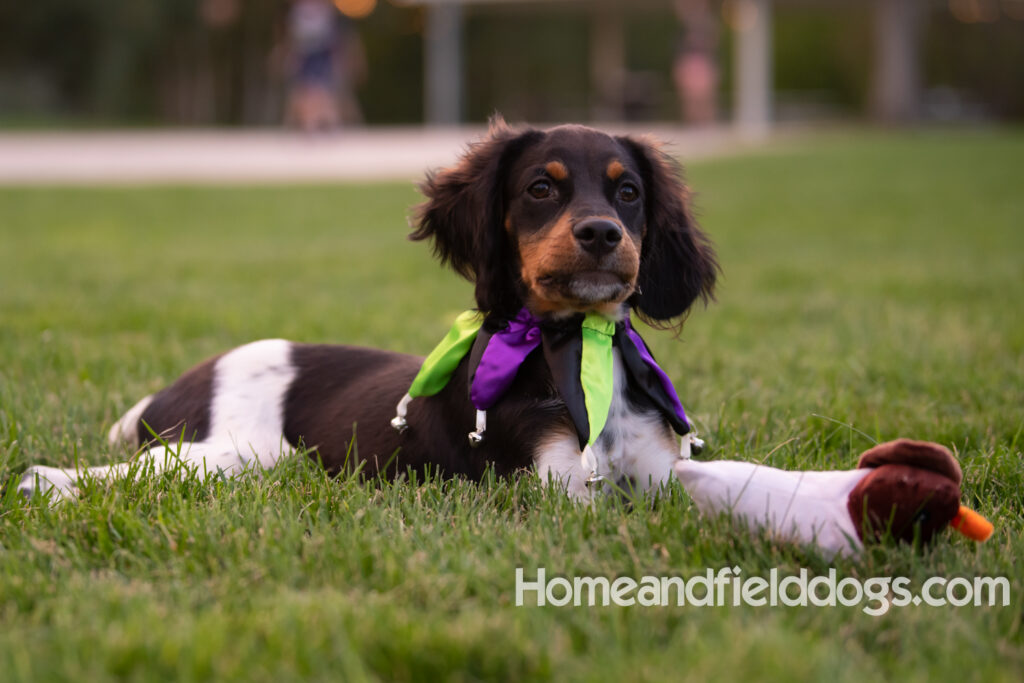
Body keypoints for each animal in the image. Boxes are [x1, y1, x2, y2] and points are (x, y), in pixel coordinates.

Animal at [18, 120, 720, 499]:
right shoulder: (556, 489)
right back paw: (44, 483)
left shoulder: (663, 478)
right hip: (231, 453)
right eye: (541, 188)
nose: (603, 234)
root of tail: (180, 383)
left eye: (629, 192)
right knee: (124, 470)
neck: (578, 347)